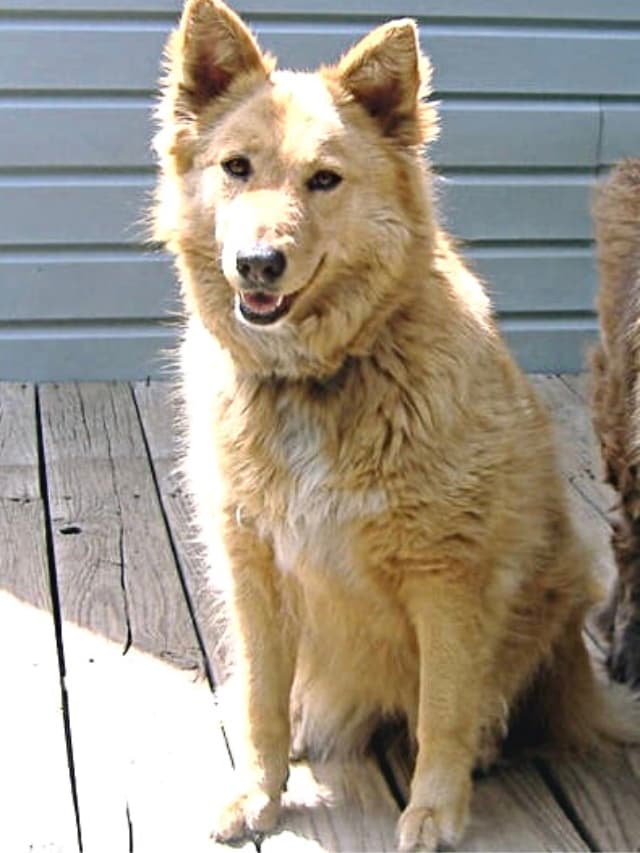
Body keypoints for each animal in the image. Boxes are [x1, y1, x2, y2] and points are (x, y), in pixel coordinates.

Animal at [154, 3, 636, 848]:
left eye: (324, 180)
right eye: (236, 168)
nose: (257, 264)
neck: (320, 377)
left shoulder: (446, 579)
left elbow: (443, 708)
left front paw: (435, 808)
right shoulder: (254, 569)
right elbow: (261, 701)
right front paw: (259, 790)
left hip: (560, 582)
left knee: (486, 701)